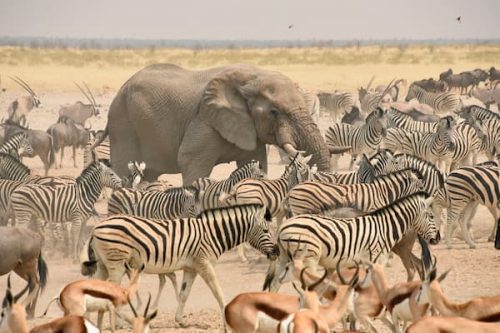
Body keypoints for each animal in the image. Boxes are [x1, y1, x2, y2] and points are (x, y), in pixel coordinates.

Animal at [80, 204, 280, 326]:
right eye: (266, 230)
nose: (277, 252)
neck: (212, 234)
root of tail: (96, 227)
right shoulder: (204, 263)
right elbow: (218, 291)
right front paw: (227, 316)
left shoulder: (191, 268)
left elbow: (184, 294)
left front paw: (180, 320)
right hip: (117, 264)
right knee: (110, 292)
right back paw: (119, 323)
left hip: (103, 265)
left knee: (94, 289)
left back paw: (89, 321)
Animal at [96, 63, 332, 184]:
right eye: (274, 112)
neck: (250, 77)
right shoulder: (205, 120)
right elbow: (190, 162)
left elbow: (254, 164)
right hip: (122, 124)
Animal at [264, 192, 440, 290]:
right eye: (431, 216)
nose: (438, 238)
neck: (385, 226)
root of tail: (282, 227)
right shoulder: (375, 260)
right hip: (308, 259)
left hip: (284, 258)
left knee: (275, 284)